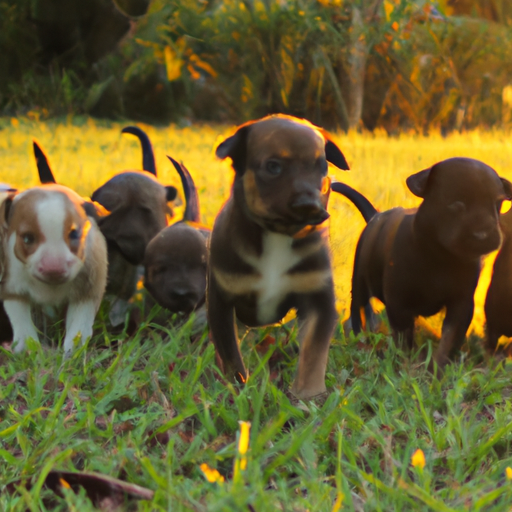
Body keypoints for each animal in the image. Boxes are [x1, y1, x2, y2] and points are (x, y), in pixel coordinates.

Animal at [0, 185, 108, 356]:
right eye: (28, 238)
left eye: (74, 234)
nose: (54, 269)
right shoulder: (12, 286)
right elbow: (21, 319)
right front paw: (27, 350)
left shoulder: (89, 287)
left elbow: (79, 324)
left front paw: (72, 353)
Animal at [207, 114, 348, 398]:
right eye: (273, 167)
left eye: (322, 166)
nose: (309, 205)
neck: (278, 234)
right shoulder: (221, 300)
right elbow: (229, 353)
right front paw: (238, 387)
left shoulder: (319, 299)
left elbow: (313, 353)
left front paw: (308, 395)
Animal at [332, 157, 512, 368]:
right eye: (456, 204)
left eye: (498, 203)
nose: (483, 235)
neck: (441, 255)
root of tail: (375, 216)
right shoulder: (399, 303)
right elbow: (404, 341)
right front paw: (408, 365)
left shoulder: (461, 304)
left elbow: (449, 340)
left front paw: (438, 367)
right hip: (359, 281)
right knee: (358, 312)